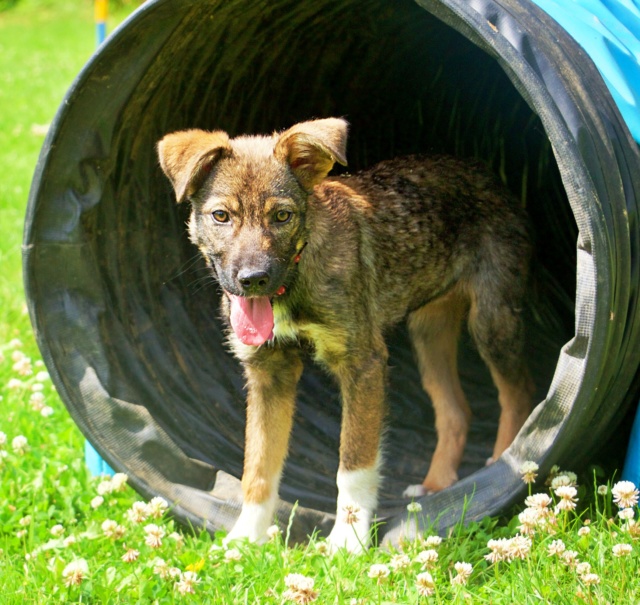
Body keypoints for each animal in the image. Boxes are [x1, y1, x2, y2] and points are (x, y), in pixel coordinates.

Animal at [158, 115, 532, 548]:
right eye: (221, 216)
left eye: (282, 216)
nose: (253, 279)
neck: (295, 278)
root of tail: (482, 171)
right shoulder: (269, 373)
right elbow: (258, 466)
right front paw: (246, 539)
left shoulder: (363, 363)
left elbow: (353, 464)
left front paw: (347, 542)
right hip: (429, 333)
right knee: (456, 410)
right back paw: (437, 486)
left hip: (492, 321)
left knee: (518, 395)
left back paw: (504, 463)